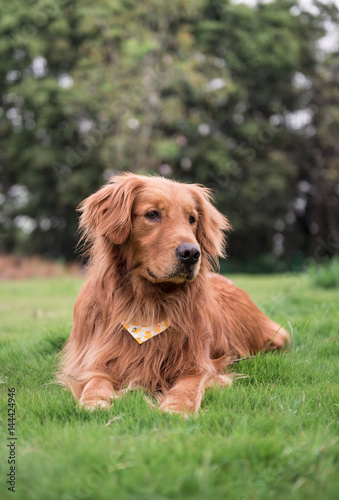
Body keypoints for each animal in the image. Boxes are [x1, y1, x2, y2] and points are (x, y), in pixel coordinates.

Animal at [57, 172, 290, 414]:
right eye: (152, 214)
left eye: (192, 219)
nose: (192, 254)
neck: (147, 303)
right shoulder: (98, 359)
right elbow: (96, 380)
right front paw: (94, 400)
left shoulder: (198, 364)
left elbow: (186, 386)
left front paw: (176, 407)